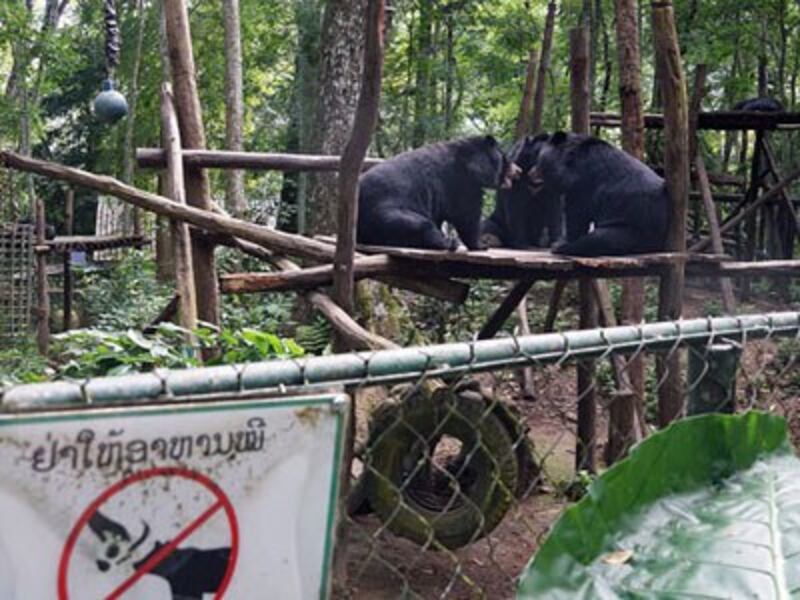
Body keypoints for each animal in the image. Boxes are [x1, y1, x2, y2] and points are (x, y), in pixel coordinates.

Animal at [356, 135, 520, 250]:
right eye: (506, 159)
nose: (519, 170)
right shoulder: (460, 182)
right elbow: (467, 215)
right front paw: (481, 245)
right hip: (383, 212)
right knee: (420, 224)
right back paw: (448, 242)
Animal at [528, 132, 672, 256]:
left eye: (538, 161)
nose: (530, 174)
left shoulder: (582, 182)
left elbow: (576, 214)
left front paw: (561, 242)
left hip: (634, 228)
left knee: (601, 239)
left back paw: (562, 247)